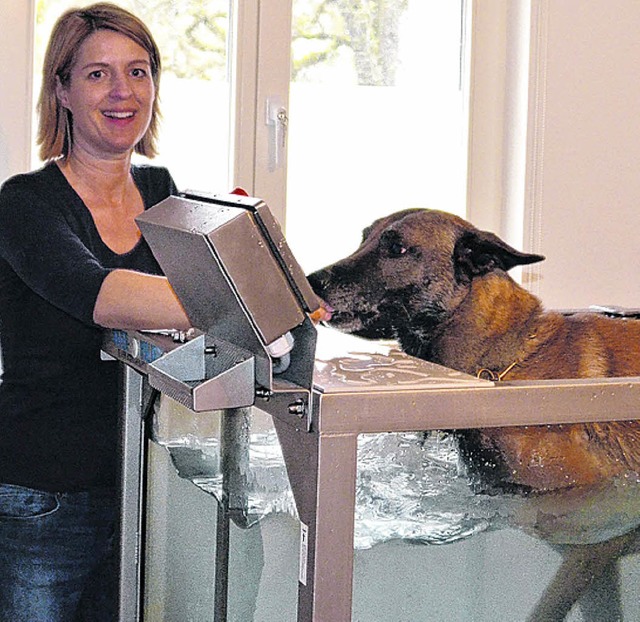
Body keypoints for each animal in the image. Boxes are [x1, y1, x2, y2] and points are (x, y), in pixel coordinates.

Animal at [308, 211, 640, 622]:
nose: (311, 281)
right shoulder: (597, 563)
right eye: (364, 239)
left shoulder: (592, 548)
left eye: (397, 248)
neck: (499, 364)